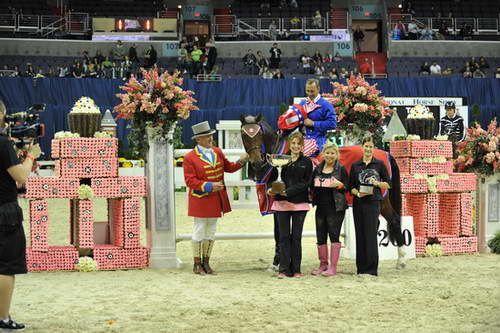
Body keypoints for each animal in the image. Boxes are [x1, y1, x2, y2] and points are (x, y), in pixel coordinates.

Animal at [240, 113, 408, 268]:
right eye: (244, 134)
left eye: (258, 134)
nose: (256, 161)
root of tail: (386, 153)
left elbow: (278, 232)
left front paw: (277, 262)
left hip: (382, 199)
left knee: (393, 219)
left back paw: (401, 260)